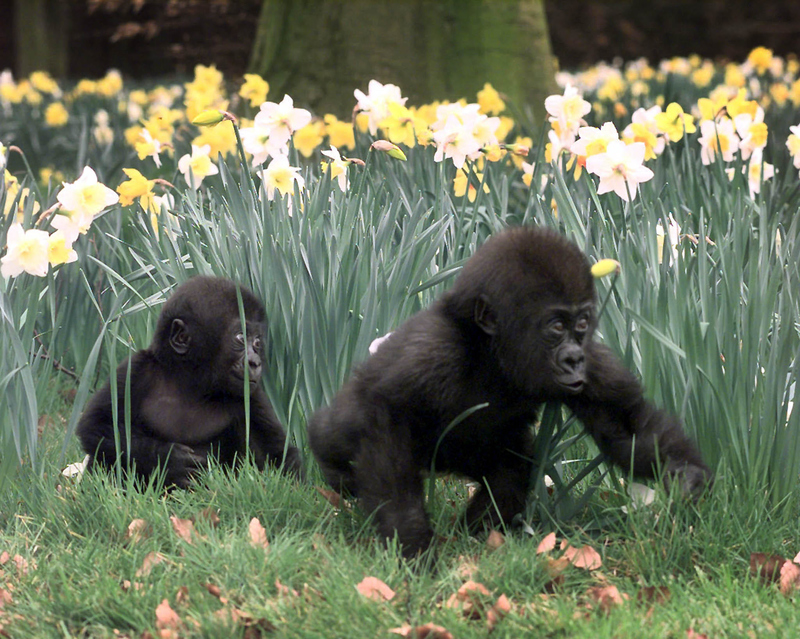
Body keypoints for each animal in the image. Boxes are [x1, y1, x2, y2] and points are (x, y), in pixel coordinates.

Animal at [76, 272, 302, 488]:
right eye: (240, 338)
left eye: (256, 342)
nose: (255, 362)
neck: (190, 382)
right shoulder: (136, 370)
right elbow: (96, 425)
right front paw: (166, 459)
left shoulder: (252, 396)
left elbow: (280, 456)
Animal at [308, 228, 712, 556]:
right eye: (556, 326)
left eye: (582, 323)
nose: (573, 359)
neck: (492, 353)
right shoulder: (429, 353)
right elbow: (386, 419)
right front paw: (411, 544)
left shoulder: (595, 365)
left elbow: (624, 432)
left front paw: (687, 473)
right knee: (339, 434)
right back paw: (331, 462)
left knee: (510, 473)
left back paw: (477, 533)